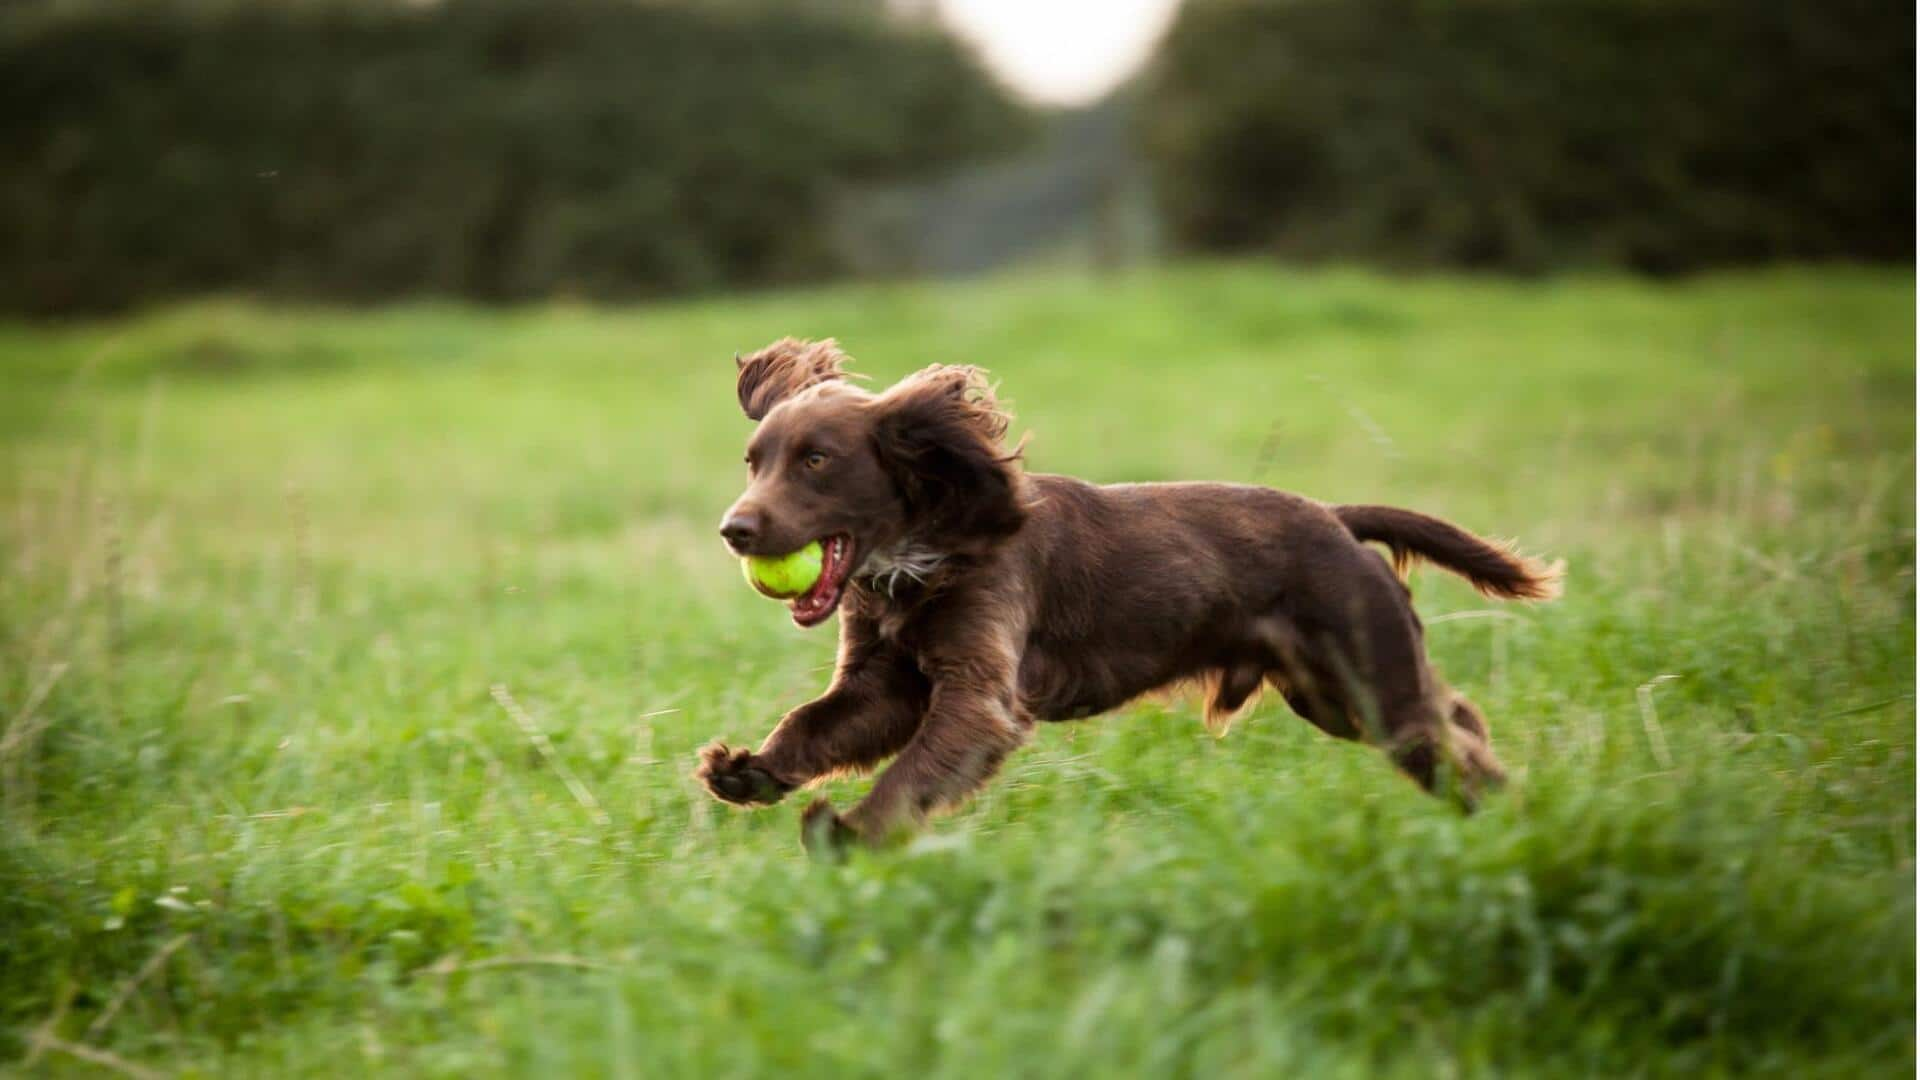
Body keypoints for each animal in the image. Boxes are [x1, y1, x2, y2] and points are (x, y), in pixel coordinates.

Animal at [698, 336, 1566, 849]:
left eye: (817, 461)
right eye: (754, 461)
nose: (735, 530)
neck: (926, 552)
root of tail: (1336, 519)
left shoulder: (980, 694)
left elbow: (912, 772)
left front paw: (849, 832)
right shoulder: (884, 683)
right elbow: (814, 724)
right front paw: (750, 770)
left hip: (1369, 684)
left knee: (1449, 736)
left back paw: (1519, 818)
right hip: (1333, 696)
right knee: (1457, 716)